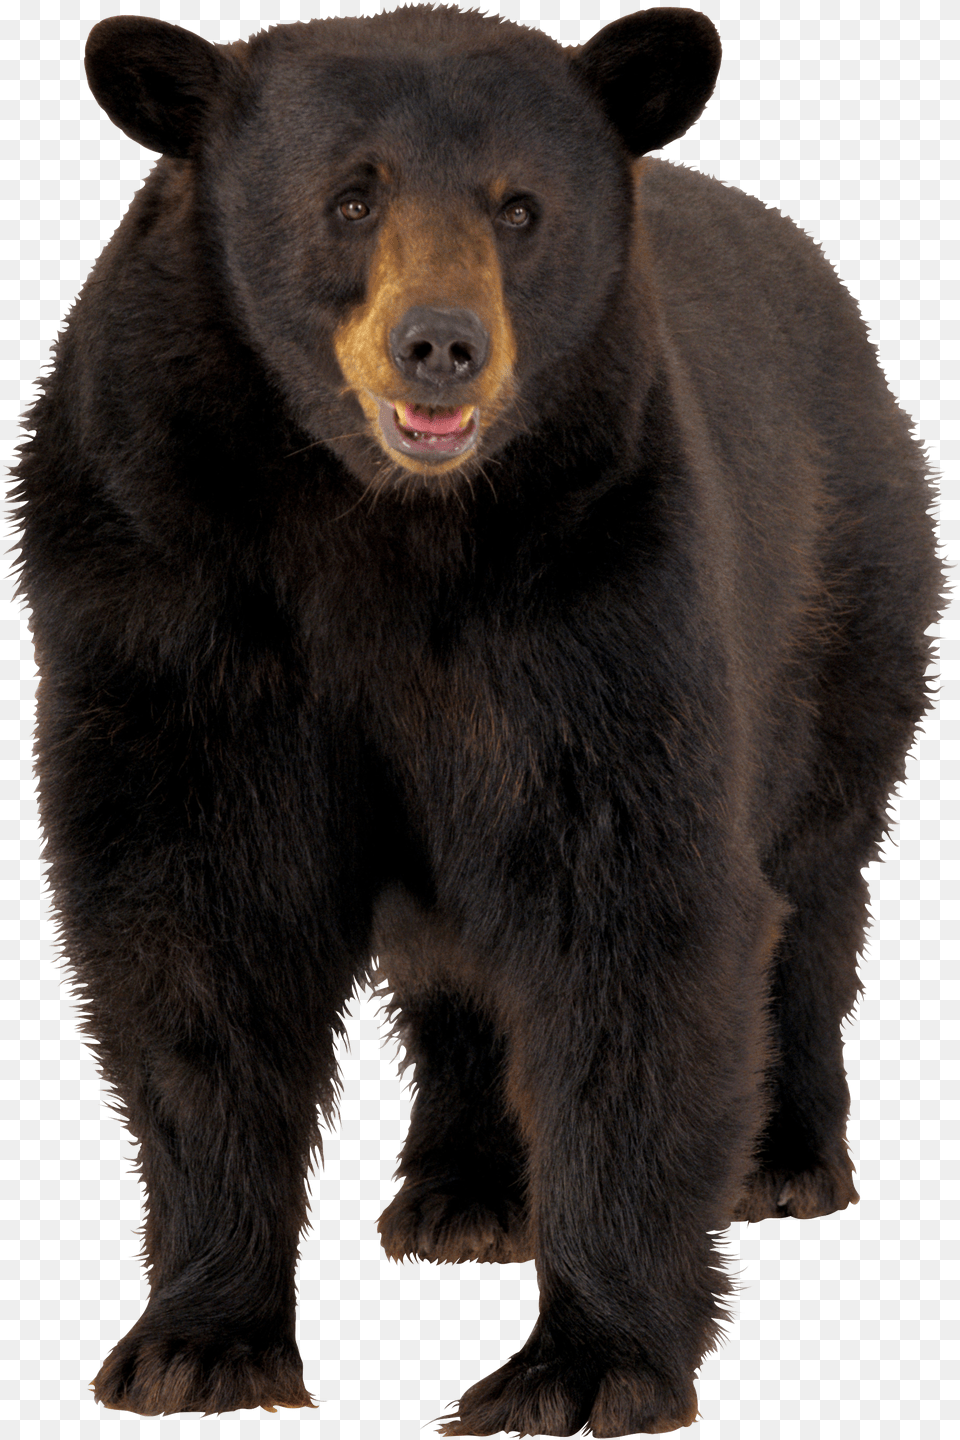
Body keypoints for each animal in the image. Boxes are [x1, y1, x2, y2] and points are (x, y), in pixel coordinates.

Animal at [11, 3, 941, 1433]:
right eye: (349, 197)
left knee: (815, 875)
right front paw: (197, 1342)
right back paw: (466, 1192)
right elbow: (196, 925)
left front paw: (583, 1361)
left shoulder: (599, 579)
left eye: (521, 208)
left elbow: (635, 908)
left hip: (845, 598)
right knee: (455, 954)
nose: (440, 342)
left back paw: (784, 1155)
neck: (375, 522)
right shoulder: (158, 580)